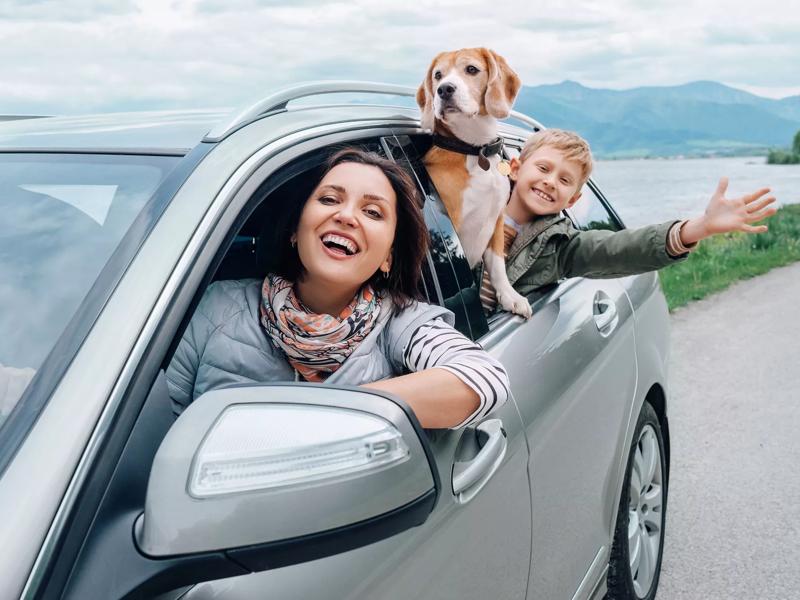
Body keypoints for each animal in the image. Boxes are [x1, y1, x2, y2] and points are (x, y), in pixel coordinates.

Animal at [418, 48, 532, 318]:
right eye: (438, 75)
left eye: (471, 69)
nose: (444, 90)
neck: (475, 150)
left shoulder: (497, 219)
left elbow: (497, 266)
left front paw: (510, 296)